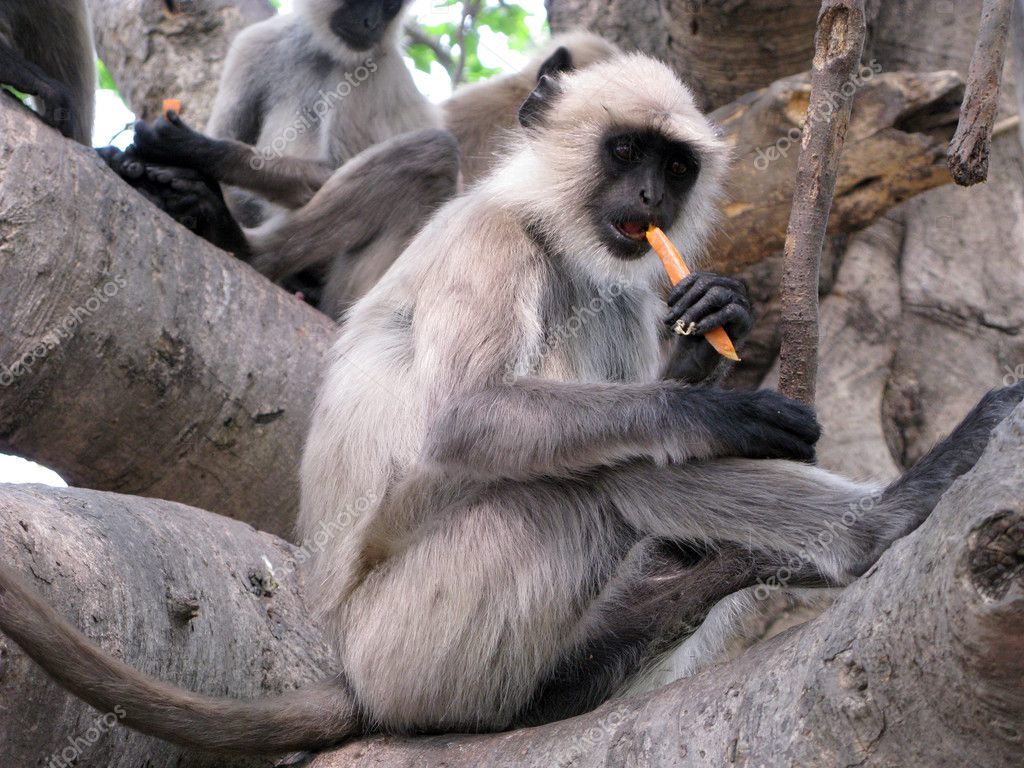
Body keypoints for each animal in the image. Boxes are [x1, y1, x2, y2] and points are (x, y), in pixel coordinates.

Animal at [4, 52, 1019, 757]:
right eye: (625, 150)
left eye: (673, 168)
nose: (648, 196)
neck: (548, 228)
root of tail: (350, 667)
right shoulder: (491, 241)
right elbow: (468, 420)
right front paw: (723, 413)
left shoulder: (622, 287)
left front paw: (718, 323)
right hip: (409, 644)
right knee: (591, 485)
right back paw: (890, 517)